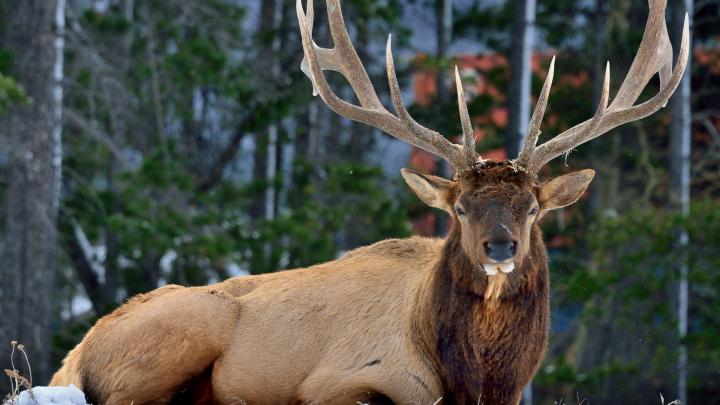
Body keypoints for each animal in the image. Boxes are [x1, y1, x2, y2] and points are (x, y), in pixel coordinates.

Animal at [50, 0, 688, 403]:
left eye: (532, 209)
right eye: (458, 209)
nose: (500, 246)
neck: (475, 376)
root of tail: (72, 358)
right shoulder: (339, 380)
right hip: (190, 326)